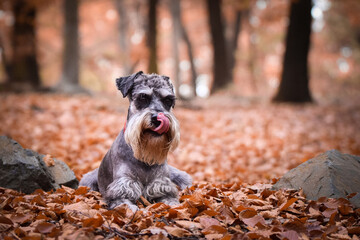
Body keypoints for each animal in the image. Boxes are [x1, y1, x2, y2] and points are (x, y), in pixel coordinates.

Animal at [79, 70, 191, 211]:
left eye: (168, 100)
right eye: (143, 97)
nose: (157, 119)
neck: (143, 156)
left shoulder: (161, 185)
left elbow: (170, 200)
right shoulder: (123, 186)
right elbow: (126, 204)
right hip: (87, 181)